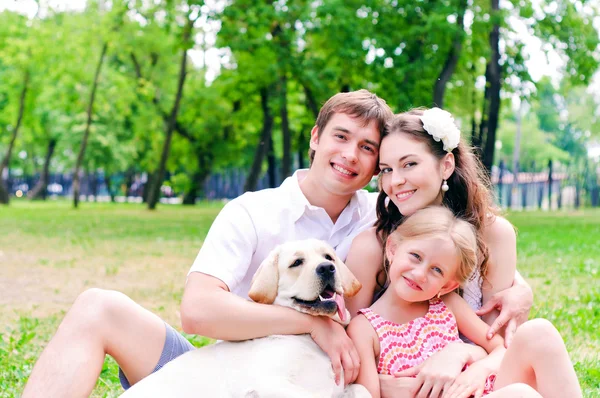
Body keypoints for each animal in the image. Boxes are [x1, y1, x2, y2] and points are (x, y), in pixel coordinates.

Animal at [120, 239, 370, 398]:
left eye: (329, 257)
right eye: (297, 263)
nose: (327, 267)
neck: (307, 339)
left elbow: (362, 389)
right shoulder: (266, 383)